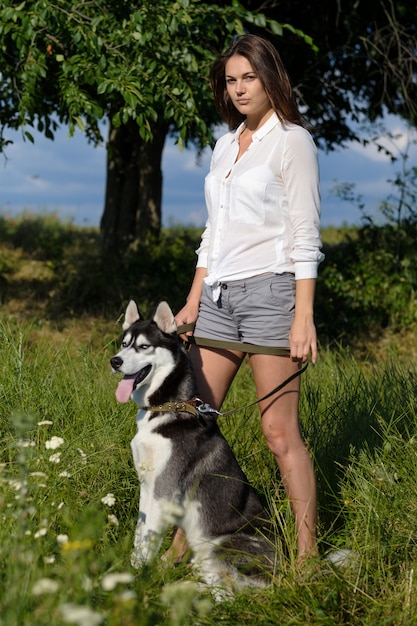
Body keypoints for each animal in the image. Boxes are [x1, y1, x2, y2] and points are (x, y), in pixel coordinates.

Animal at [109, 298, 276, 596]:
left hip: (219, 546)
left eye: (144, 346)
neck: (166, 409)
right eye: (124, 343)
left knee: (226, 595)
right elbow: (141, 532)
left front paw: (138, 575)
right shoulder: (147, 485)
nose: (114, 361)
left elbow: (149, 537)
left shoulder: (164, 489)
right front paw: (132, 567)